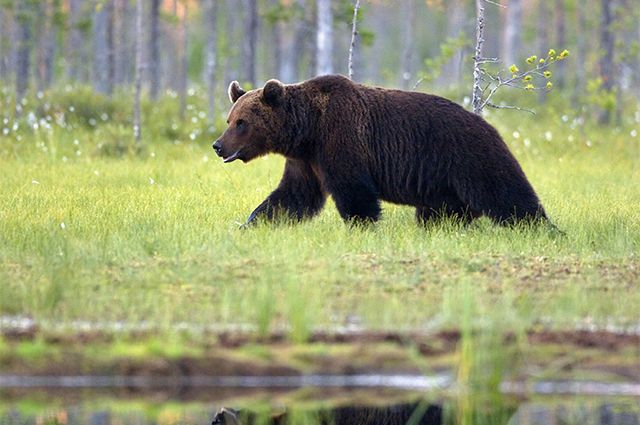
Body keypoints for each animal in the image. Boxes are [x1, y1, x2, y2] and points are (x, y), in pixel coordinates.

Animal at [212, 75, 548, 225]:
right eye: (230, 119)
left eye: (242, 122)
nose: (217, 145)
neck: (308, 130)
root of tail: (489, 125)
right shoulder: (306, 160)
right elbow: (293, 195)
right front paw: (252, 223)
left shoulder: (341, 137)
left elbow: (354, 191)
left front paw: (361, 225)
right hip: (442, 184)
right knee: (441, 212)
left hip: (468, 157)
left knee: (505, 192)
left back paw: (541, 226)